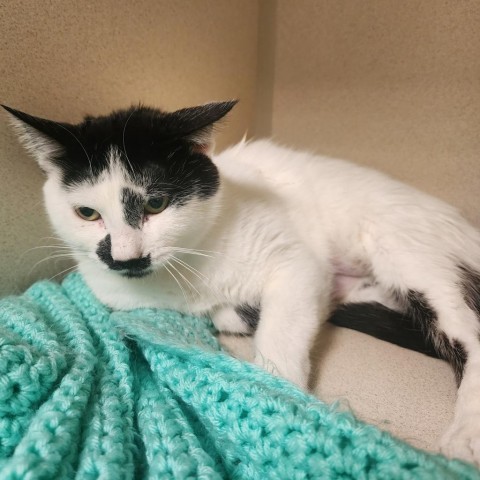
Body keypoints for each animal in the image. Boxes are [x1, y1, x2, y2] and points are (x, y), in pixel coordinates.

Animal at [3, 100, 480, 464]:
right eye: (87, 213)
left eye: (156, 203)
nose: (126, 256)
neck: (186, 269)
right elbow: (226, 315)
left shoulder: (297, 262)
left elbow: (281, 327)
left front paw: (280, 398)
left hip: (405, 250)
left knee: (467, 329)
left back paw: (466, 435)